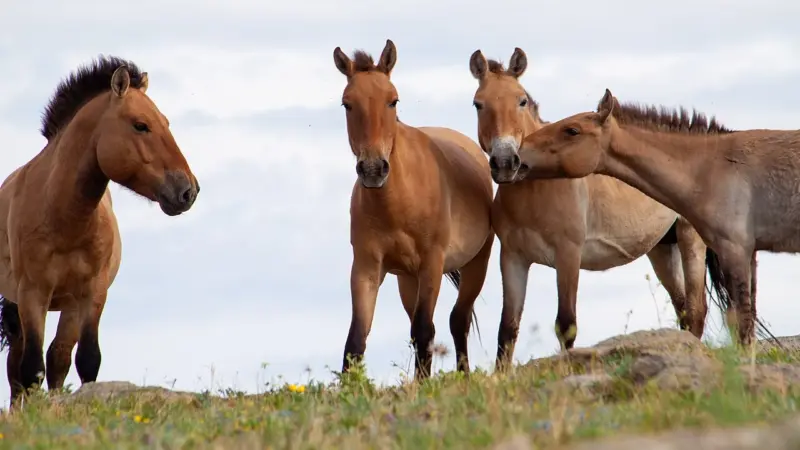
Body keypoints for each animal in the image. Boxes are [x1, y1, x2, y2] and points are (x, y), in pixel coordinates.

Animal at [0, 56, 199, 406]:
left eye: (166, 122)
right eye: (140, 125)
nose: (188, 190)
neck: (64, 219)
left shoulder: (92, 293)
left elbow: (86, 360)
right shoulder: (32, 294)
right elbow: (30, 368)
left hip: (68, 306)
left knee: (58, 357)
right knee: (19, 368)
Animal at [333, 39, 495, 379]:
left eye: (392, 101)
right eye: (346, 104)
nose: (373, 169)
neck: (396, 204)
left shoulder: (431, 264)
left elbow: (423, 329)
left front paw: (424, 385)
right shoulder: (366, 269)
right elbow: (356, 339)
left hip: (477, 264)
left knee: (457, 319)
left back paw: (463, 375)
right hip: (406, 280)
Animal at [469, 48, 710, 370]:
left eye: (521, 100)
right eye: (478, 104)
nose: (506, 162)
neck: (536, 189)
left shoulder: (568, 255)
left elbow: (566, 324)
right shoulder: (513, 258)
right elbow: (507, 329)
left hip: (690, 239)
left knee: (695, 310)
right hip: (662, 249)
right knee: (683, 308)